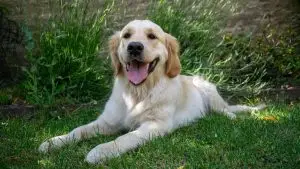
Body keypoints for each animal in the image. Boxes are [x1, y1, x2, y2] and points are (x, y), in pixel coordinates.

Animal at [38, 19, 266, 164]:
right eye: (126, 35)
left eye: (152, 36)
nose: (134, 47)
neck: (137, 92)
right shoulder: (107, 122)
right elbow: (78, 130)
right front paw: (53, 142)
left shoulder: (155, 125)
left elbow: (126, 138)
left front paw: (101, 151)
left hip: (208, 89)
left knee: (225, 109)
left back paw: (230, 117)